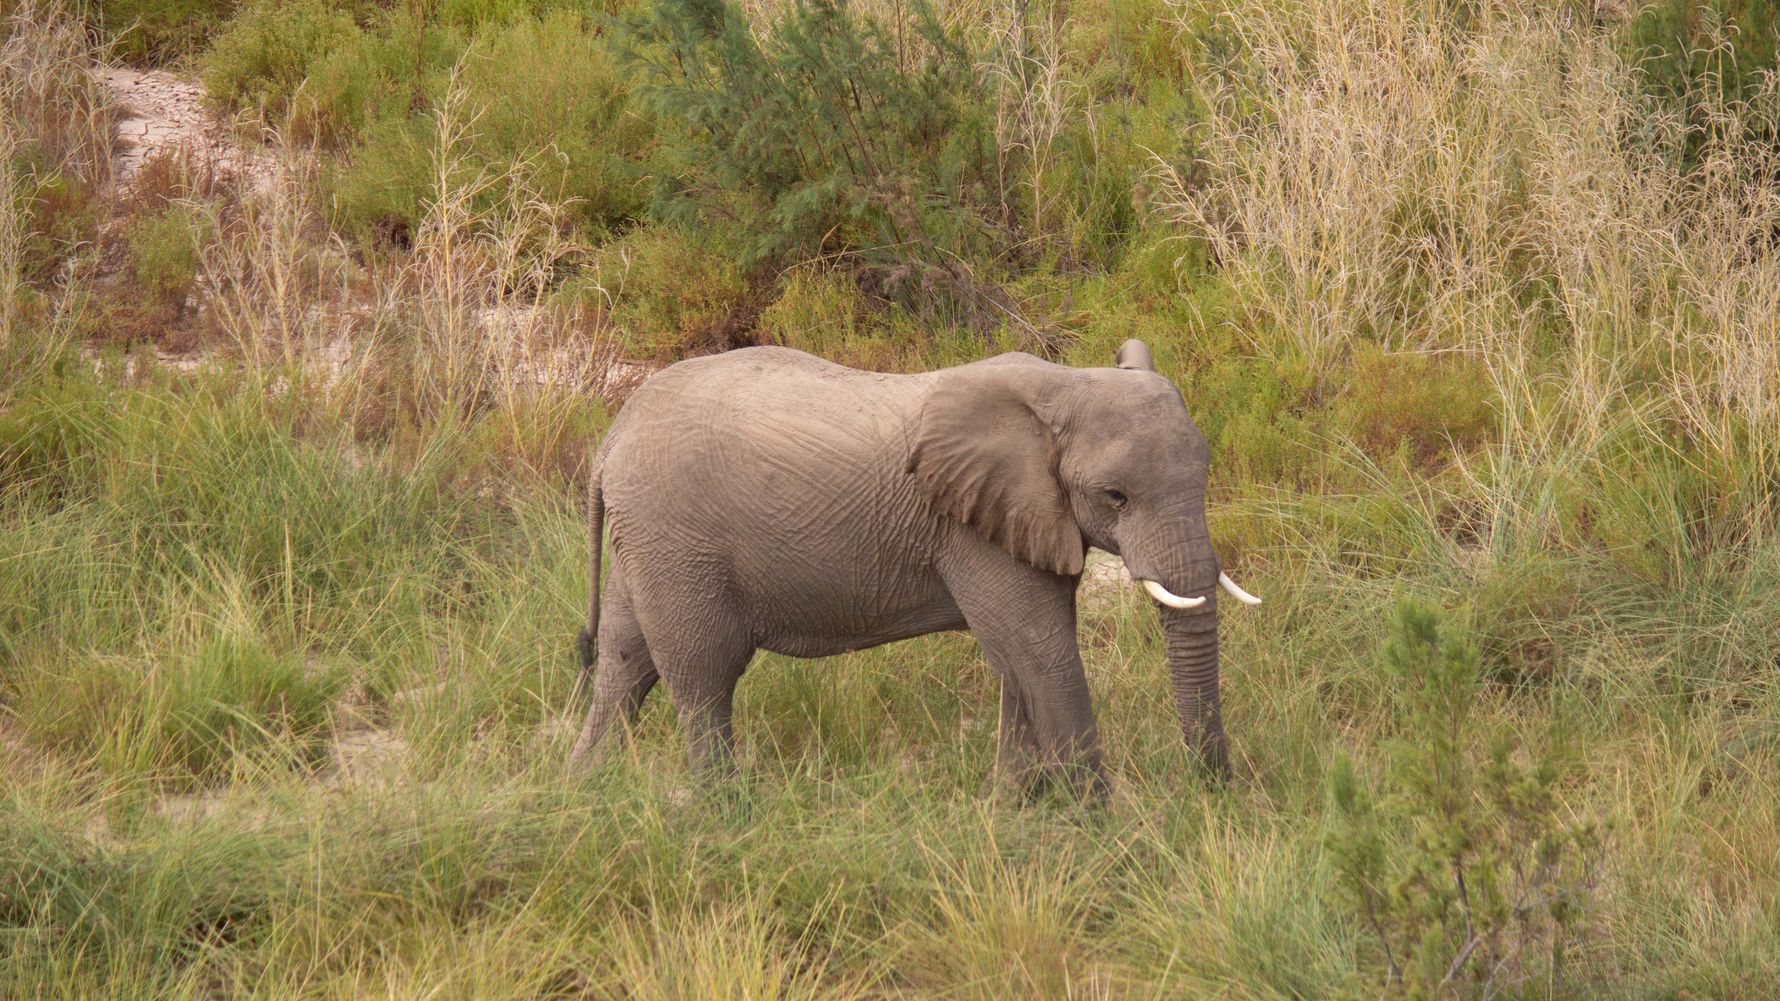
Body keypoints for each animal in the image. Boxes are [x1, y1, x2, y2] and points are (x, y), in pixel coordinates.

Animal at [567, 338, 1259, 792]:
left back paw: (584, 789)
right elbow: (1042, 650)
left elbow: (1019, 661)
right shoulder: (973, 525)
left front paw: (1016, 814)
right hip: (677, 540)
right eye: (1115, 496)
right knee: (703, 677)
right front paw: (1098, 828)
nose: (1212, 792)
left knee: (627, 662)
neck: (1063, 382)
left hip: (648, 541)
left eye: (1203, 472)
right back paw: (726, 814)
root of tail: (609, 441)